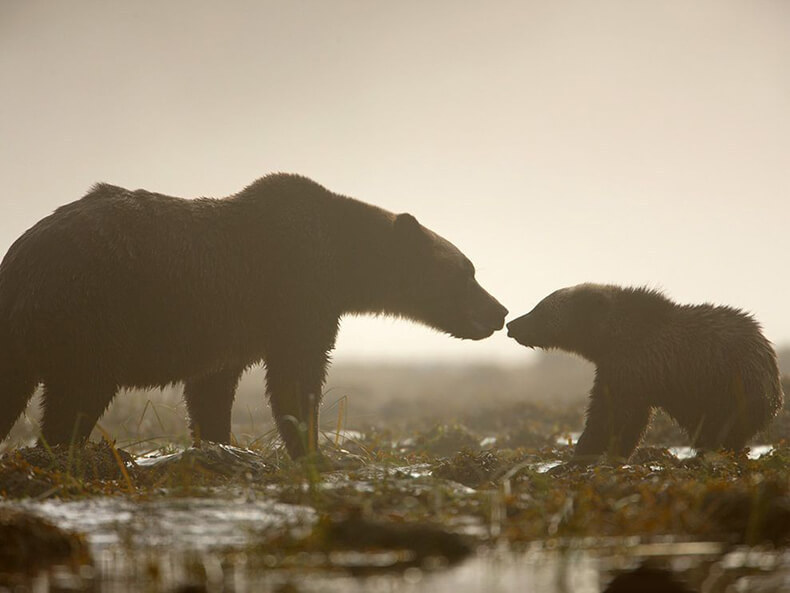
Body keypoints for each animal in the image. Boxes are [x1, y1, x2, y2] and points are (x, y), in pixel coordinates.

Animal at [0, 173, 508, 456]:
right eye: (466, 272)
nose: (500, 311)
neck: (344, 261)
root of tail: (20, 258)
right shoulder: (294, 292)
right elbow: (296, 376)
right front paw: (313, 450)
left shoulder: (228, 332)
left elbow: (212, 389)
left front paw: (219, 442)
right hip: (92, 310)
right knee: (79, 393)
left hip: (25, 335)